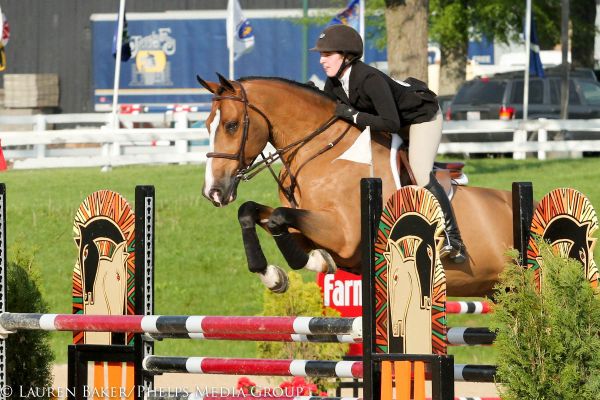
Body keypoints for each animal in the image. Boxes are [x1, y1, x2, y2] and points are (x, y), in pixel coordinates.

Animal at [198, 73, 516, 298]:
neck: (323, 153)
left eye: (231, 125)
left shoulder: (345, 236)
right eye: (206, 125)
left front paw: (316, 262)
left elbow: (278, 218)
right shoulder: (305, 228)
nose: (213, 191)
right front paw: (274, 275)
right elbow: (251, 212)